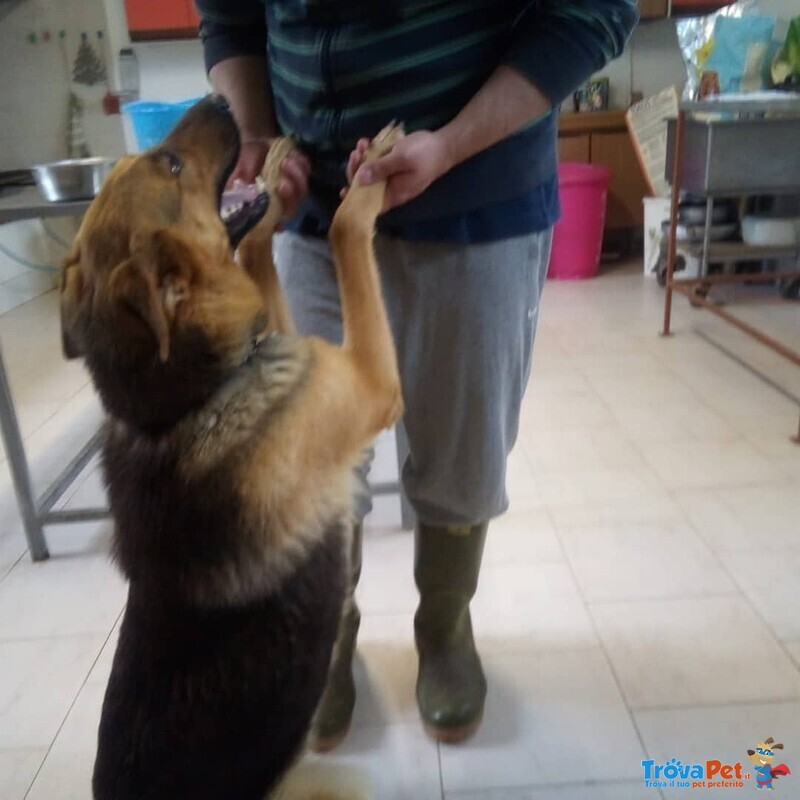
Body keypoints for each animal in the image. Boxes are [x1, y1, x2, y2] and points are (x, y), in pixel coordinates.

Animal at [59, 95, 404, 800]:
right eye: (170, 162)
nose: (221, 99)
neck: (184, 403)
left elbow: (261, 258)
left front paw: (274, 190)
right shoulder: (371, 383)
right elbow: (344, 233)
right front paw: (369, 176)